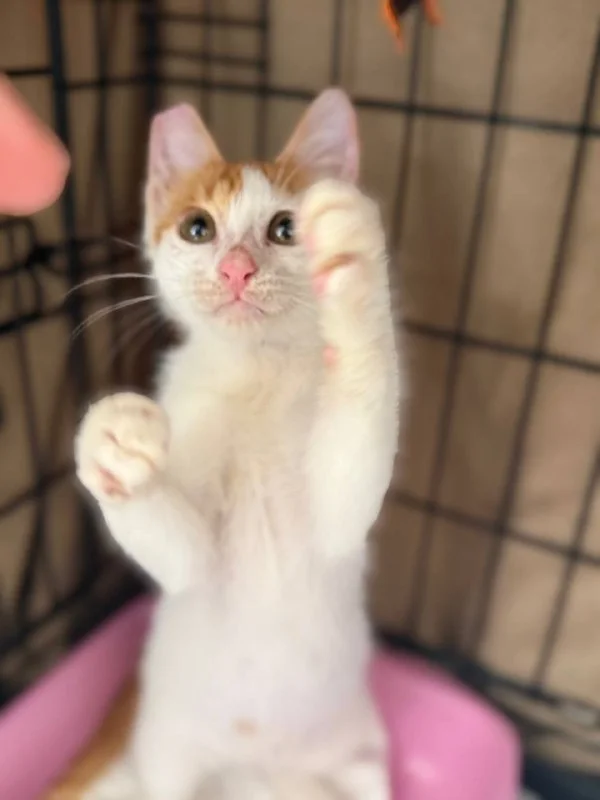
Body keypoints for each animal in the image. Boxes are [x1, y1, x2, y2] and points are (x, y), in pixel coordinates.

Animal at [75, 87, 402, 800]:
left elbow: (359, 440)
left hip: (365, 762)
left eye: (285, 229)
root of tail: (261, 777)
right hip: (168, 762)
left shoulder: (339, 518)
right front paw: (112, 445)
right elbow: (181, 557)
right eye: (198, 228)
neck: (258, 378)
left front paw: (357, 272)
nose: (235, 269)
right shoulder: (191, 567)